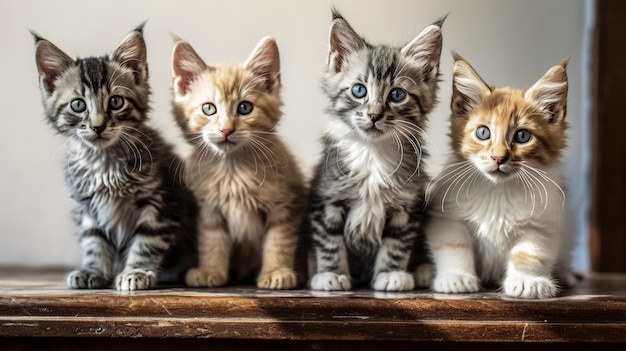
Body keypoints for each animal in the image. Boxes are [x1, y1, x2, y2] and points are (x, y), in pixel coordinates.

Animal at [31, 23, 196, 290]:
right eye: (78, 105)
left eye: (116, 102)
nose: (97, 126)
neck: (103, 161)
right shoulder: (86, 208)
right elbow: (93, 242)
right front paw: (92, 271)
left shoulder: (163, 202)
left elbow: (147, 242)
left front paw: (137, 272)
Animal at [171, 35, 308, 290]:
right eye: (208, 108)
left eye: (245, 108)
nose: (226, 129)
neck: (232, 170)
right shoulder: (209, 210)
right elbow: (212, 241)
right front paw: (211, 270)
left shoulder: (286, 204)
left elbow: (279, 240)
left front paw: (276, 272)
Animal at [304, 9, 442, 292]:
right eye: (359, 91)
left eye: (397, 95)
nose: (374, 115)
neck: (372, 153)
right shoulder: (326, 199)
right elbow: (330, 241)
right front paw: (331, 274)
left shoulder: (406, 207)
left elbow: (397, 243)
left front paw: (391, 274)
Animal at [424, 55, 576, 300]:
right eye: (483, 133)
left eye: (522, 136)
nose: (498, 158)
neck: (498, 190)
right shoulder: (447, 218)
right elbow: (453, 247)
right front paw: (456, 278)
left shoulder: (542, 224)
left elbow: (529, 254)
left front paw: (527, 281)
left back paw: (565, 274)